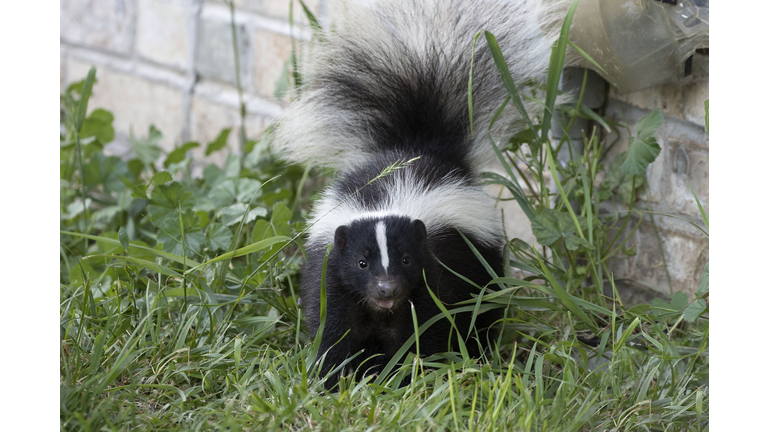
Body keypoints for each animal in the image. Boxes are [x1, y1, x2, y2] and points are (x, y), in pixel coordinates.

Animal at [270, 0, 564, 388]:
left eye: (407, 259)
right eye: (362, 262)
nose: (387, 288)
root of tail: (417, 146)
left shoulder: (435, 272)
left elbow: (427, 328)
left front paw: (411, 376)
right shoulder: (333, 276)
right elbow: (337, 331)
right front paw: (332, 379)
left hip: (481, 260)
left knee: (484, 307)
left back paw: (481, 350)